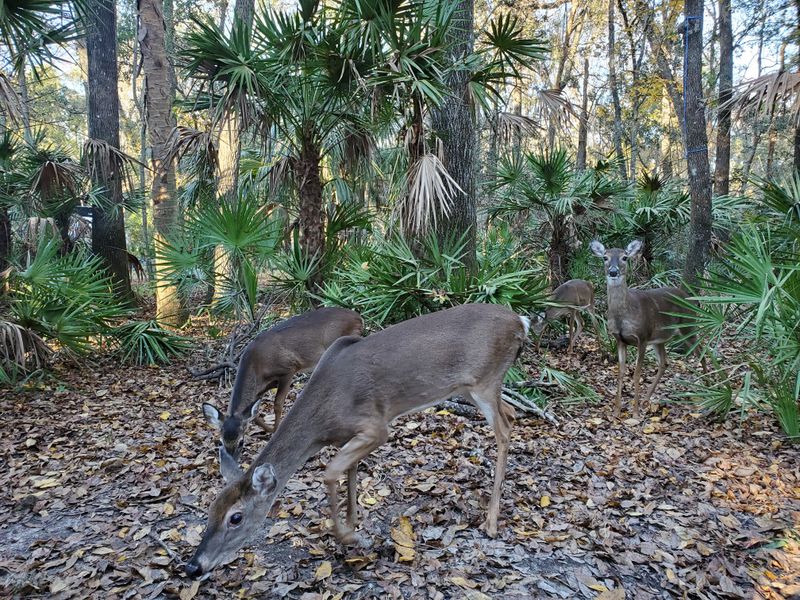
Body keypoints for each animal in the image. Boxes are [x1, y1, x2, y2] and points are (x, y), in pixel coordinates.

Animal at [201, 307, 363, 462]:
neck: (256, 365)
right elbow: (255, 414)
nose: (231, 462)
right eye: (221, 442)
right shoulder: (263, 386)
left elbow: (277, 404)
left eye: (241, 442)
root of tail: (358, 317)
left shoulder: (288, 369)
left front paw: (274, 431)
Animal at [589, 239, 707, 418]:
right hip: (660, 339)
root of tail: (688, 297)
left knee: (701, 352)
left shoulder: (642, 337)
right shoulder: (620, 340)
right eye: (605, 257)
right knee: (664, 362)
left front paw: (635, 413)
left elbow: (637, 374)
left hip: (688, 326)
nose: (613, 271)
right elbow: (621, 373)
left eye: (625, 257)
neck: (623, 315)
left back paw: (710, 387)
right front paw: (617, 411)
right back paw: (646, 400)